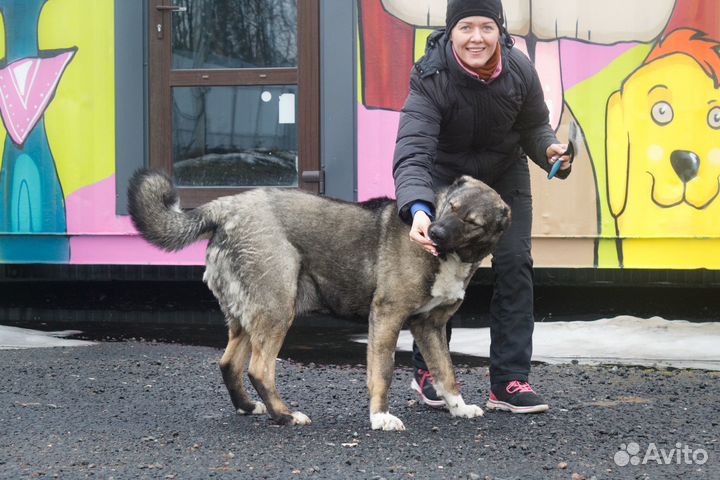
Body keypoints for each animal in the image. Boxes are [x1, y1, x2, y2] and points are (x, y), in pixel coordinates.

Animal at [129, 171, 512, 434]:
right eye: (449, 207)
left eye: (472, 222)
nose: (433, 233)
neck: (452, 257)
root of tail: (227, 207)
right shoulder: (387, 316)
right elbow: (383, 372)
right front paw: (380, 417)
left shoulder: (429, 326)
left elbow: (446, 372)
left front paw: (458, 407)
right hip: (277, 308)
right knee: (259, 368)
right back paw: (284, 415)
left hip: (250, 313)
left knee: (229, 363)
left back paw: (249, 407)